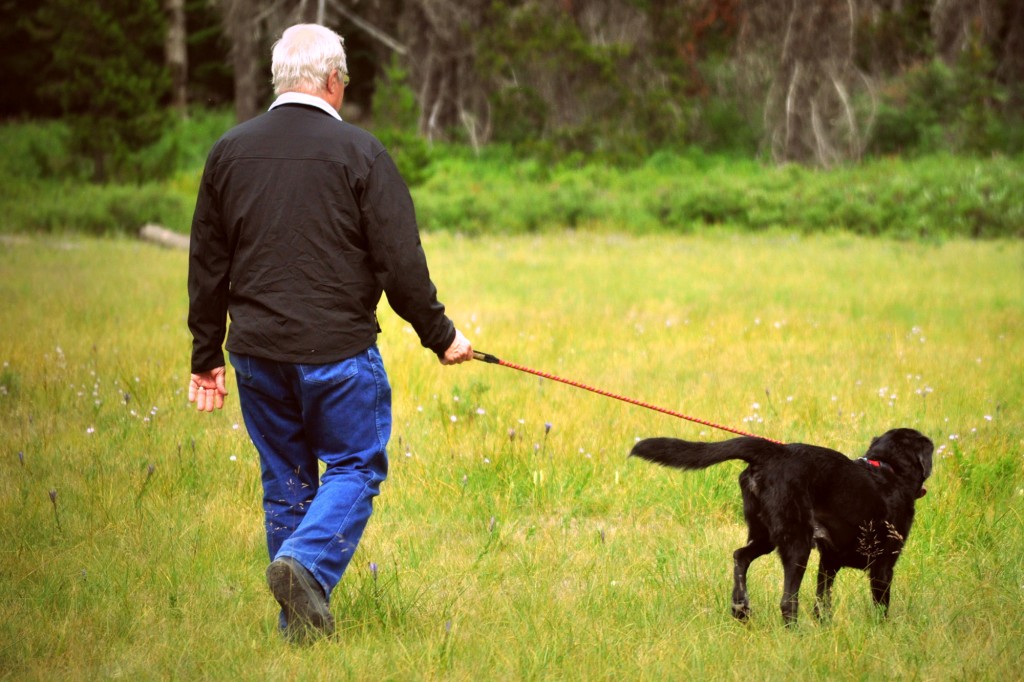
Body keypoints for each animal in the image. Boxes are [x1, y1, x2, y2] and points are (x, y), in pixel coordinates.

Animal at [626, 428, 933, 622]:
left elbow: (822, 603)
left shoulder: (828, 563)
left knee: (740, 556)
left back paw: (740, 607)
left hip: (765, 534)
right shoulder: (883, 565)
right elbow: (881, 608)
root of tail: (774, 451)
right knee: (787, 601)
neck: (889, 470)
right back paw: (794, 633)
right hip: (797, 543)